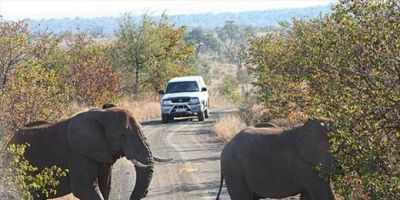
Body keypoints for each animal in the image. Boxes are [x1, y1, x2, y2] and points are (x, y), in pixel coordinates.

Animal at [8, 106, 172, 200]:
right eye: (123, 135)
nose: (146, 193)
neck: (101, 115)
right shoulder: (77, 154)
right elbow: (84, 188)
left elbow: (105, 186)